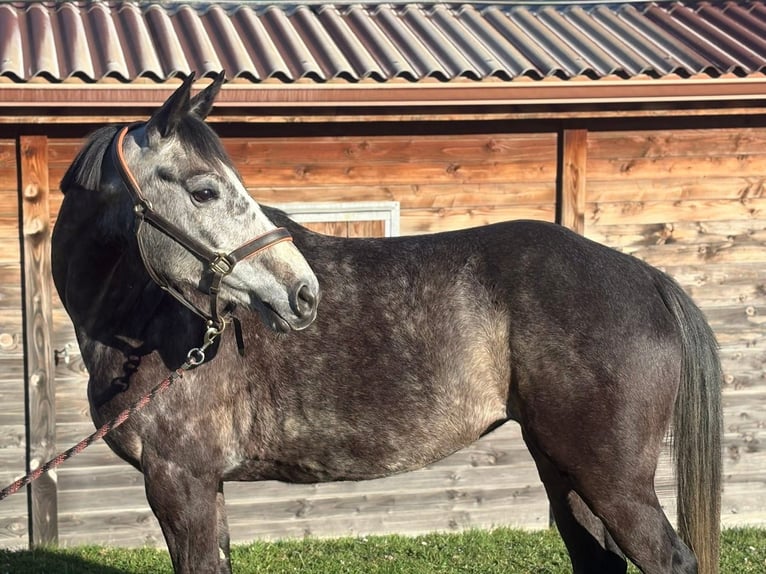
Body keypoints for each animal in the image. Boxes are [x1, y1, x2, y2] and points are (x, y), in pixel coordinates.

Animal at [52, 73, 722, 574]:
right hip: (565, 471)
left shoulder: (180, 482)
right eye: (205, 191)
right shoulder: (202, 486)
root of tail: (644, 277)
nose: (303, 295)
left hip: (614, 482)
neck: (152, 324)